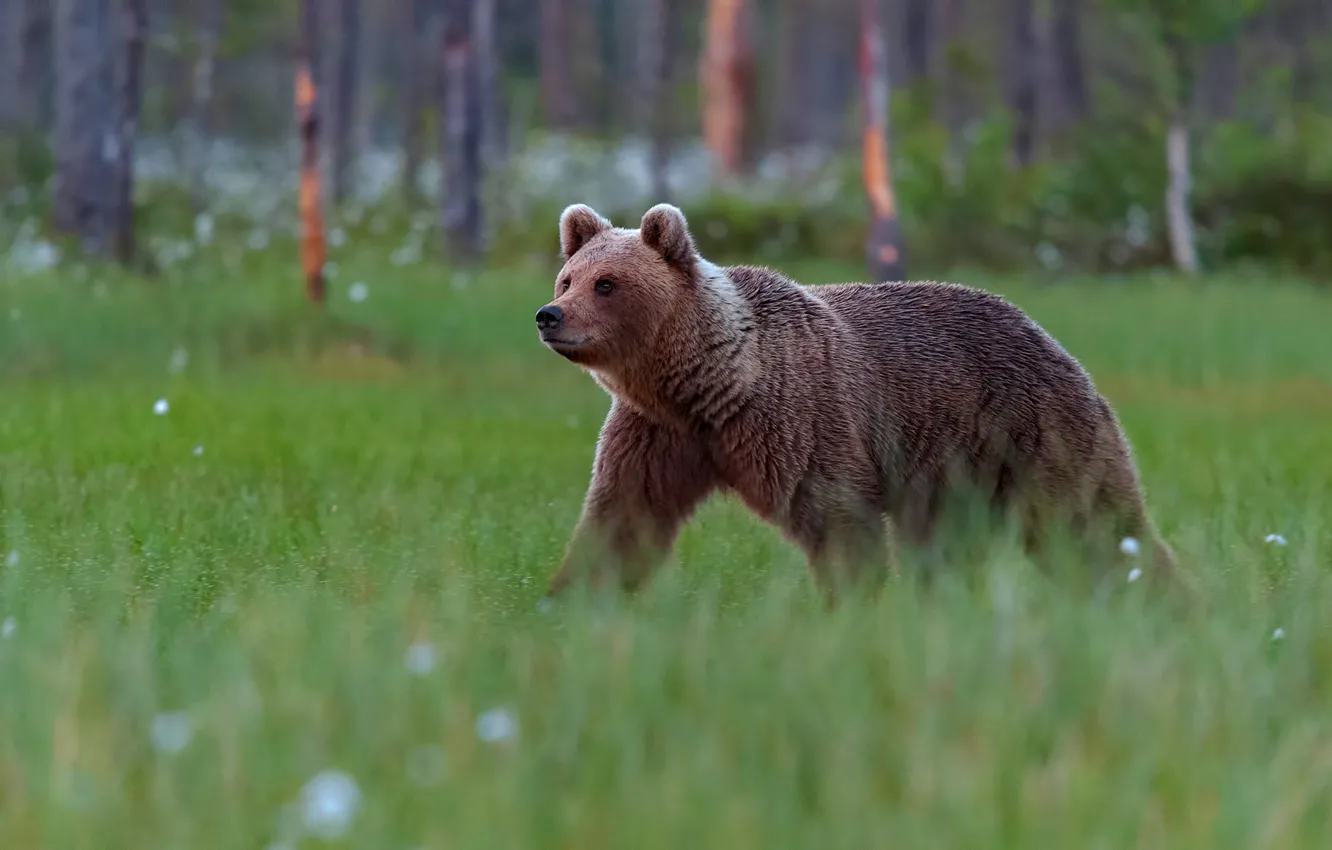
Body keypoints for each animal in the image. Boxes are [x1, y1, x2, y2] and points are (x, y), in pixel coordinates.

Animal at [534, 202, 1178, 603]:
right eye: (568, 277)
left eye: (607, 283)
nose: (549, 315)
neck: (709, 383)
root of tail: (1047, 334)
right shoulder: (659, 433)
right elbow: (624, 515)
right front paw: (568, 600)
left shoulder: (801, 417)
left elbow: (838, 520)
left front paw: (850, 603)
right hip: (954, 473)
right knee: (949, 547)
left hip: (1030, 429)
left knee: (1094, 521)